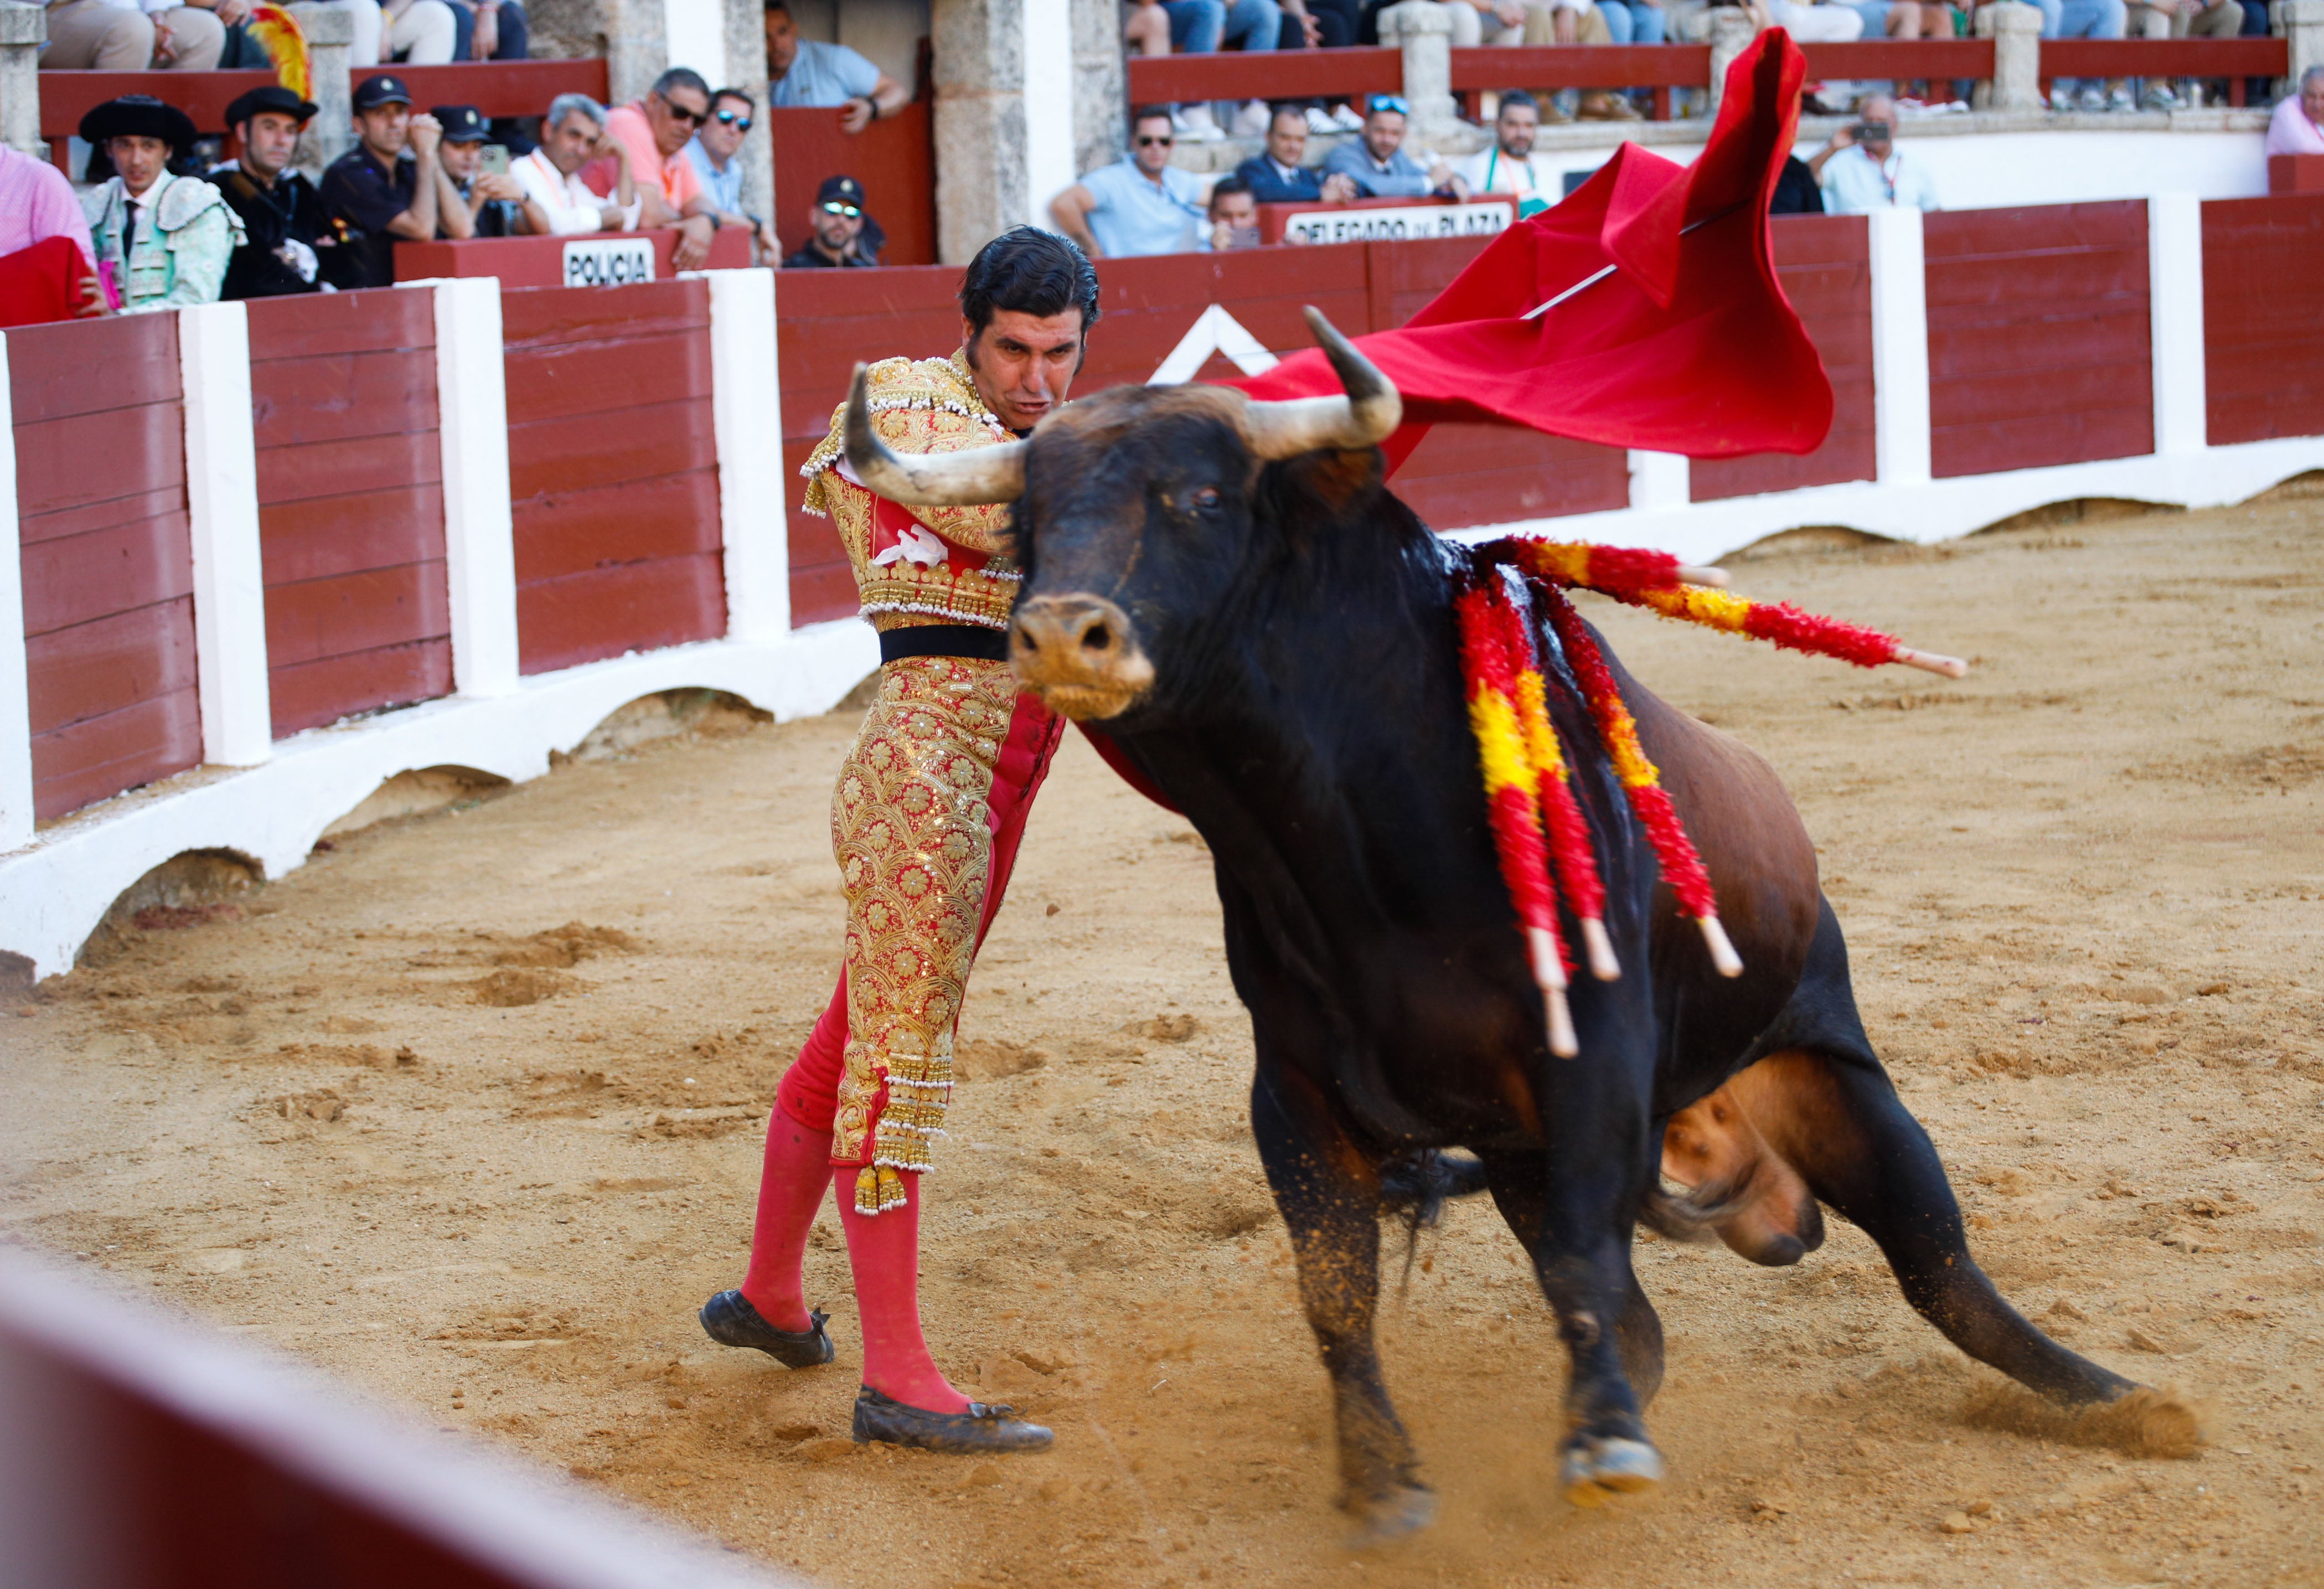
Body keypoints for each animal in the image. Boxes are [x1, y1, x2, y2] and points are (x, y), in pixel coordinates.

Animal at [846, 325, 2166, 1542]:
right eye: (1027, 523)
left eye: (1202, 496)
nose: (1060, 631)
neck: (1354, 839)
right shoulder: (1295, 1090)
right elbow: (1338, 1286)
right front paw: (1381, 1480)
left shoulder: (1591, 1059)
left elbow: (1584, 1257)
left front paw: (1602, 1449)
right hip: (1529, 1153)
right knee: (1649, 1312)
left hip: (1833, 1075)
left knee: (1937, 1266)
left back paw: (2121, 1401)